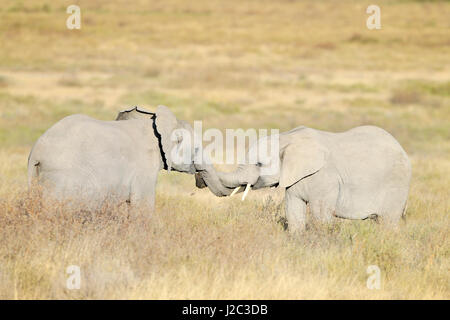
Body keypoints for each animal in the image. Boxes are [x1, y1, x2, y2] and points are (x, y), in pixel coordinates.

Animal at [195, 125, 414, 232]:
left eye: (259, 164)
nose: (198, 177)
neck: (287, 138)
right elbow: (294, 212)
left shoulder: (325, 178)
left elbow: (320, 215)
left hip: (396, 185)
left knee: (388, 222)